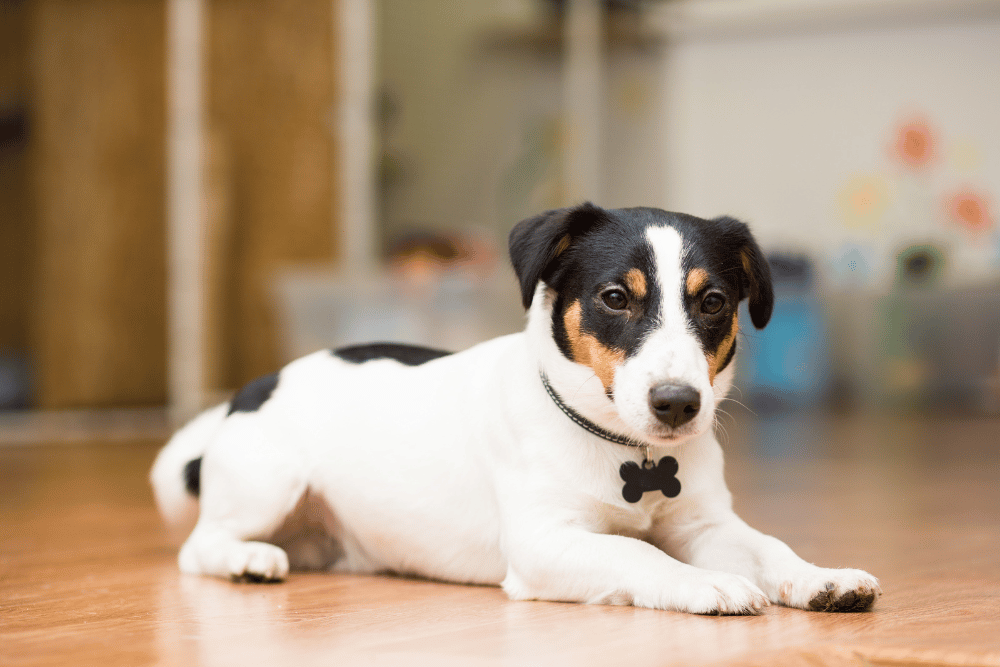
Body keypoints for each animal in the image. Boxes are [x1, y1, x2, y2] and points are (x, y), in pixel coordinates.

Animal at [152, 204, 880, 616]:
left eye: (713, 302)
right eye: (615, 297)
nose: (677, 403)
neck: (627, 451)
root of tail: (256, 385)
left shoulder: (707, 525)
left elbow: (770, 546)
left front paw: (819, 577)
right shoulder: (545, 541)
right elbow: (637, 554)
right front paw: (706, 585)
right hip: (269, 484)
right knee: (197, 547)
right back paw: (245, 559)